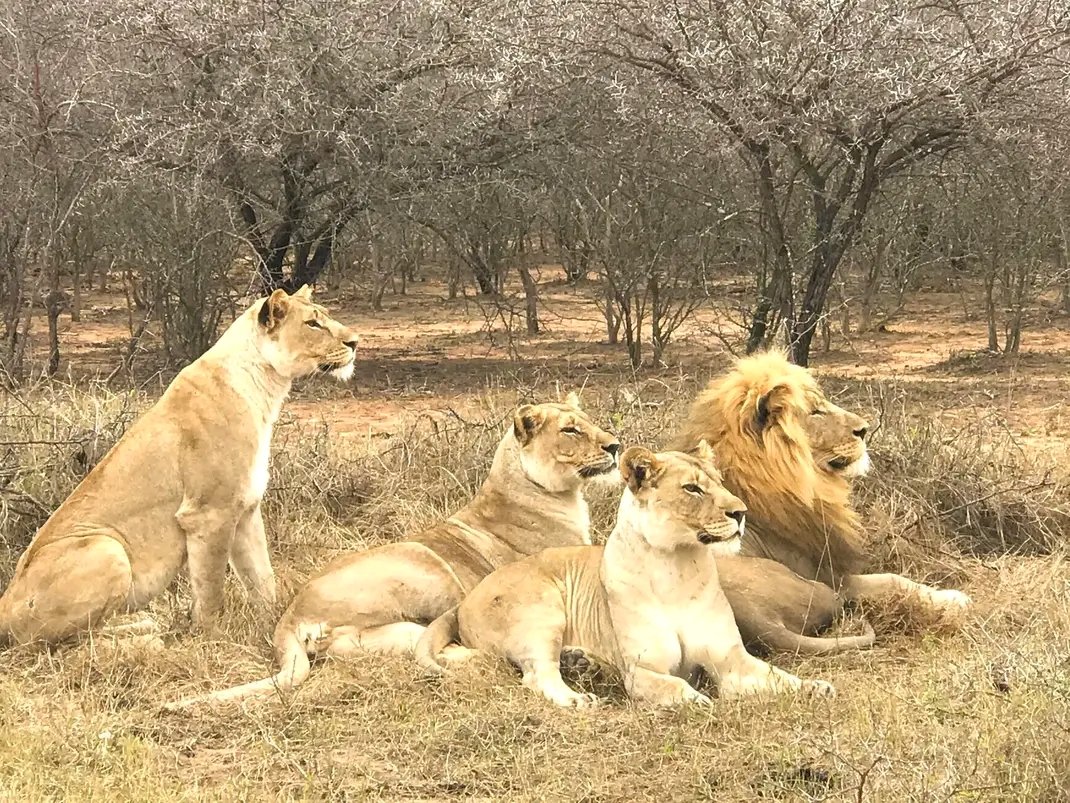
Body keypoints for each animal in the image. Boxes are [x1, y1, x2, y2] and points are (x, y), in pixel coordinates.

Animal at [0, 285, 358, 646]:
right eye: (313, 323)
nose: (355, 342)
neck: (265, 389)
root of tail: (4, 606)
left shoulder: (246, 509)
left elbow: (261, 575)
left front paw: (272, 622)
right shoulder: (208, 514)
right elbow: (211, 588)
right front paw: (211, 639)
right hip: (107, 547)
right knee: (71, 641)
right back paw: (145, 633)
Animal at [165, 394, 621, 708]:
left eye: (591, 423)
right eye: (571, 430)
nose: (615, 446)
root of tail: (290, 617)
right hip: (426, 575)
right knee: (451, 649)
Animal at [416, 443, 835, 707]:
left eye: (720, 483)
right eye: (693, 489)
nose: (741, 512)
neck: (678, 566)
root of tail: (465, 599)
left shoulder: (732, 659)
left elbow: (779, 677)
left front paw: (815, 687)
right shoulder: (643, 670)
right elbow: (676, 686)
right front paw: (698, 700)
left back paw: (584, 664)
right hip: (542, 609)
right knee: (536, 674)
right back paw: (577, 696)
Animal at [671, 350, 970, 654]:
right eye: (815, 412)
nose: (864, 429)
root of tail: (758, 624)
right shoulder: (832, 575)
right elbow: (893, 579)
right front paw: (953, 597)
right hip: (824, 589)